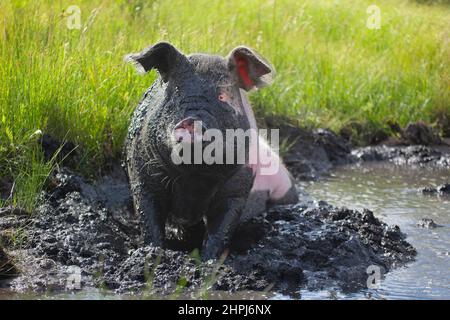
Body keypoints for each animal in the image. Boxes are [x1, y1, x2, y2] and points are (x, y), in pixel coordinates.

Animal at [125, 41, 298, 258]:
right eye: (174, 94)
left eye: (222, 96)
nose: (191, 121)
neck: (194, 178)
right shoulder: (141, 174)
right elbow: (148, 216)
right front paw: (152, 252)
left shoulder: (238, 186)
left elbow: (222, 225)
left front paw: (209, 259)